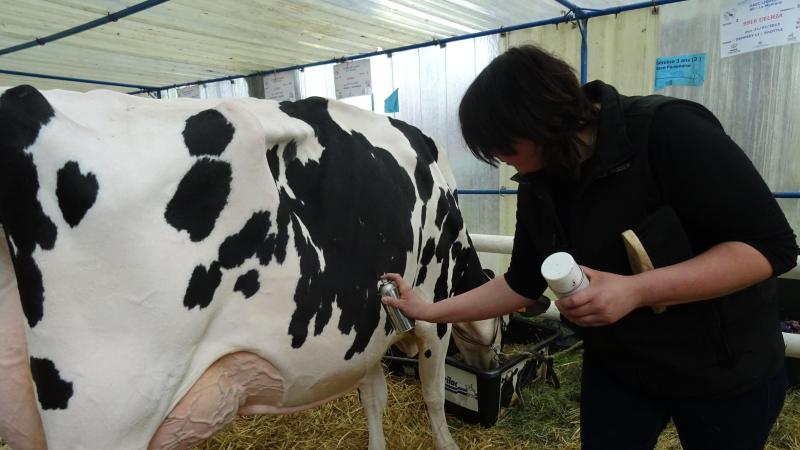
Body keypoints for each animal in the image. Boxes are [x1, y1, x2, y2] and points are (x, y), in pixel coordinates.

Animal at [0, 85, 496, 450]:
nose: (492, 361)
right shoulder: (432, 309)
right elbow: (433, 394)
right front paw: (448, 444)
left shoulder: (364, 334)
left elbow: (374, 397)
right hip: (114, 404)